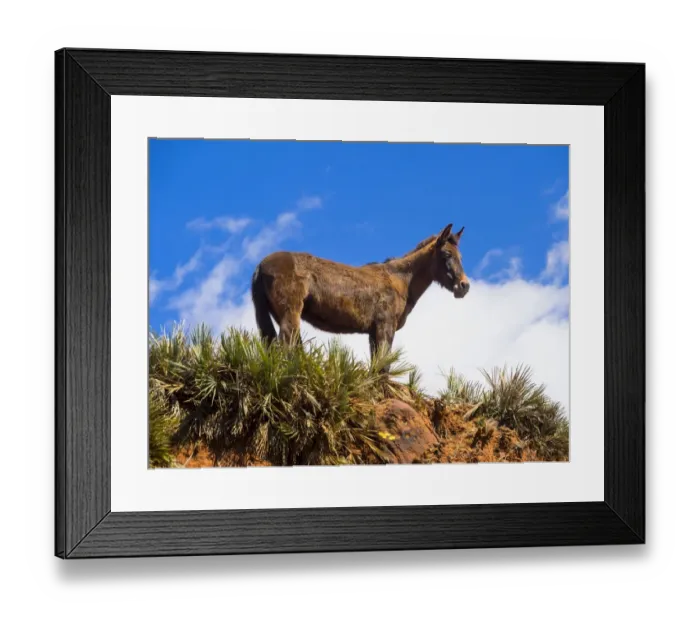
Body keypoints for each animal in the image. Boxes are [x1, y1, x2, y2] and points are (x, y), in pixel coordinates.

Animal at [251, 223, 470, 359]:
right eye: (446, 254)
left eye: (461, 257)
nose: (464, 286)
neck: (400, 280)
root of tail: (261, 266)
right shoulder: (385, 328)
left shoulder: (373, 333)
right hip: (291, 314)